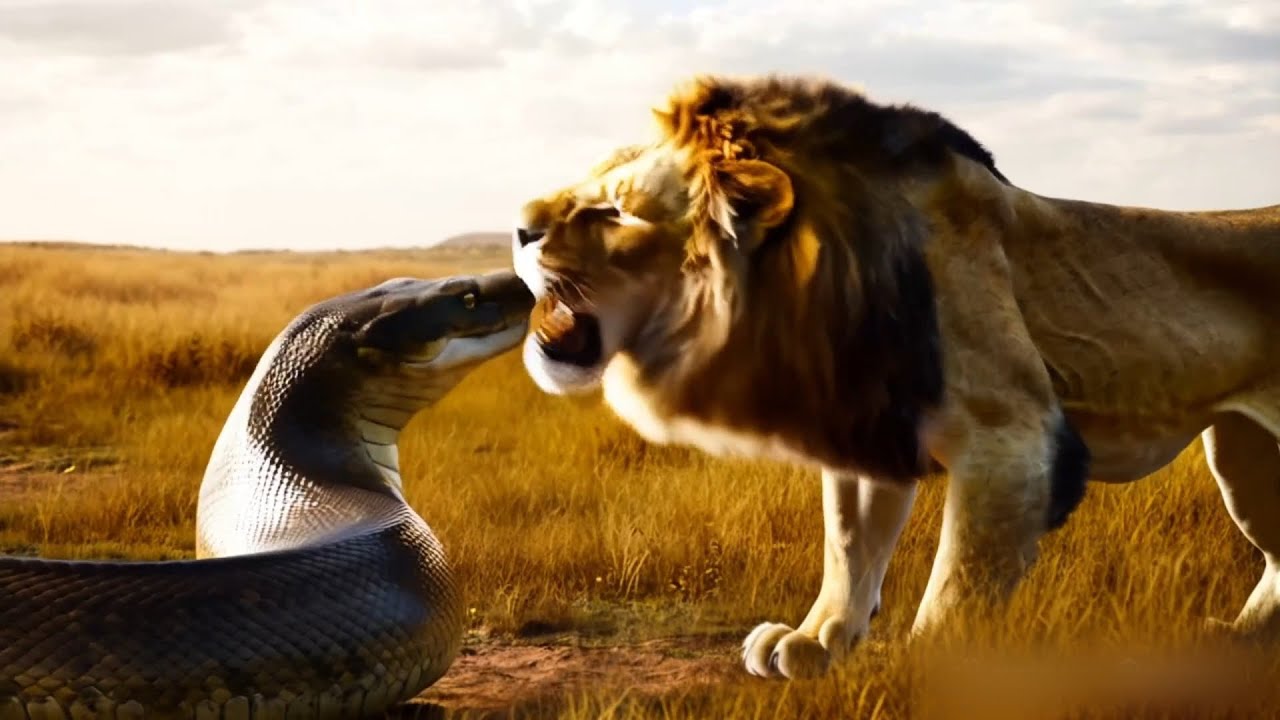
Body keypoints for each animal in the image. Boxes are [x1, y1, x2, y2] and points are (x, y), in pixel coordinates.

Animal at [510, 72, 1280, 679]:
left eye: (612, 210)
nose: (517, 227)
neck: (813, 295)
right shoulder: (864, 428)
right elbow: (847, 547)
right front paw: (817, 642)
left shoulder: (1014, 438)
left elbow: (958, 584)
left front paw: (926, 673)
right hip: (1245, 458)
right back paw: (1237, 639)